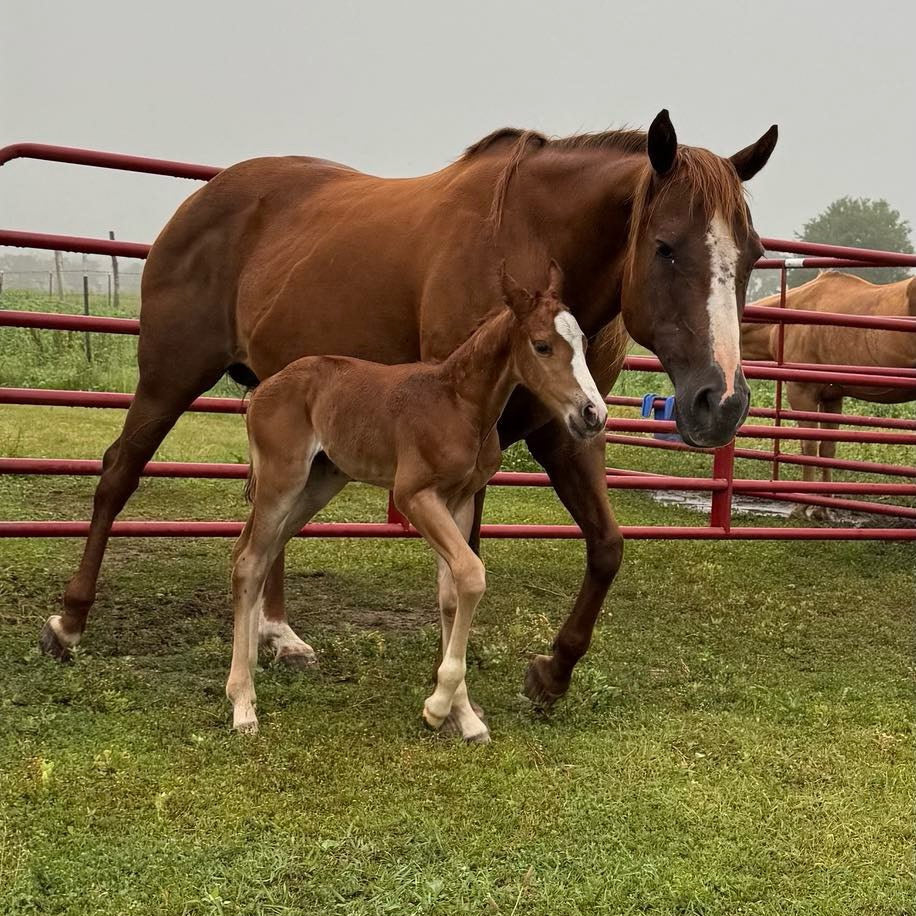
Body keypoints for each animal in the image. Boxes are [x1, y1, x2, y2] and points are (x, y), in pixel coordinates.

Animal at [229, 262, 606, 741]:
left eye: (583, 342)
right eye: (542, 346)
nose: (594, 415)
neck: (459, 405)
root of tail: (263, 390)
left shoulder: (458, 501)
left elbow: (451, 592)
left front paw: (463, 717)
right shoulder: (414, 496)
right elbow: (472, 575)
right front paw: (438, 707)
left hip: (317, 485)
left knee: (254, 553)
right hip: (283, 479)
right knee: (249, 561)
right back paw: (243, 704)